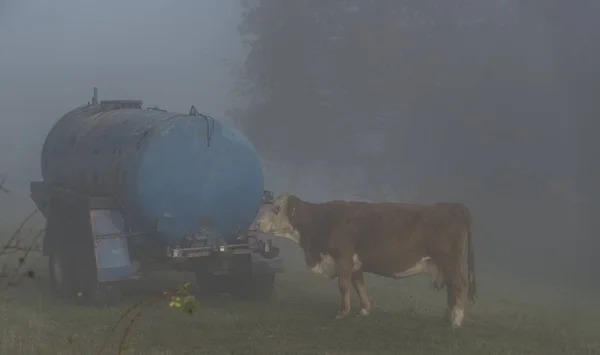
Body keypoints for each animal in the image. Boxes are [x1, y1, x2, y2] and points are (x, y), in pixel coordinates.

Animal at [256, 195, 478, 328]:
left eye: (276, 208)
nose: (257, 223)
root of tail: (454, 206)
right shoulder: (356, 264)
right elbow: (359, 285)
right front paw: (364, 309)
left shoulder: (343, 258)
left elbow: (344, 286)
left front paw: (342, 312)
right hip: (444, 265)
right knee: (451, 288)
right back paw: (446, 319)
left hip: (449, 261)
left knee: (459, 285)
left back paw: (456, 322)